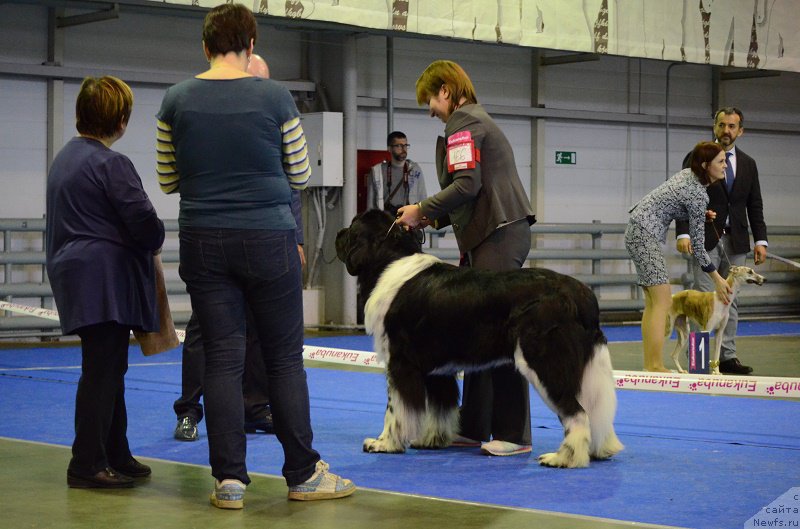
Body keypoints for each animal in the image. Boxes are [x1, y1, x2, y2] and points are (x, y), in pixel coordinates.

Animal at [334, 210, 620, 466]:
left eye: (352, 226)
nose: (338, 232)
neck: (389, 259)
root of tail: (581, 294)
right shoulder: (436, 369)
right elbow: (441, 406)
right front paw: (432, 440)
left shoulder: (401, 362)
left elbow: (395, 409)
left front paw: (383, 443)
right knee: (594, 408)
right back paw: (598, 450)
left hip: (544, 360)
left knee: (576, 412)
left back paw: (564, 458)